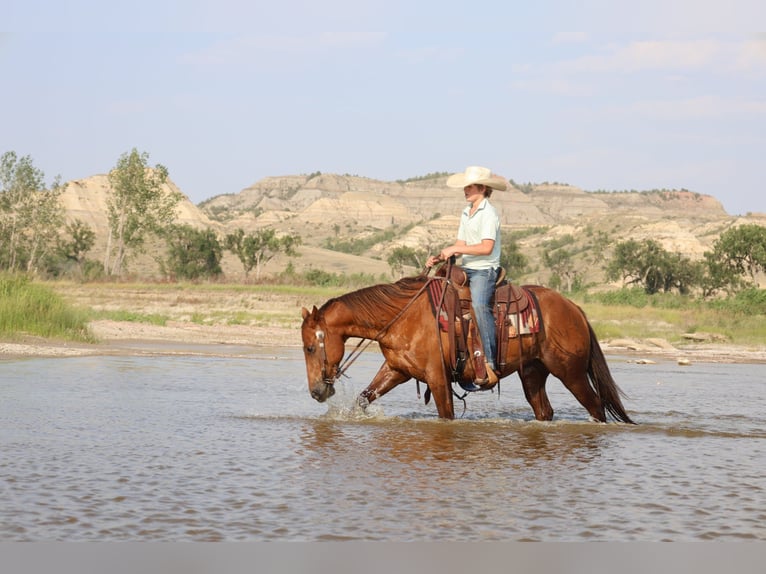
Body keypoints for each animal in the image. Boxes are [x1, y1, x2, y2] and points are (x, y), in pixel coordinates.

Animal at [300, 272, 634, 423]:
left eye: (309, 347)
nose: (316, 392)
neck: (403, 315)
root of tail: (574, 308)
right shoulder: (397, 369)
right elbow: (364, 398)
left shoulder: (437, 378)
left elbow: (446, 416)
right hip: (533, 373)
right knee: (544, 410)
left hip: (571, 372)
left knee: (596, 407)